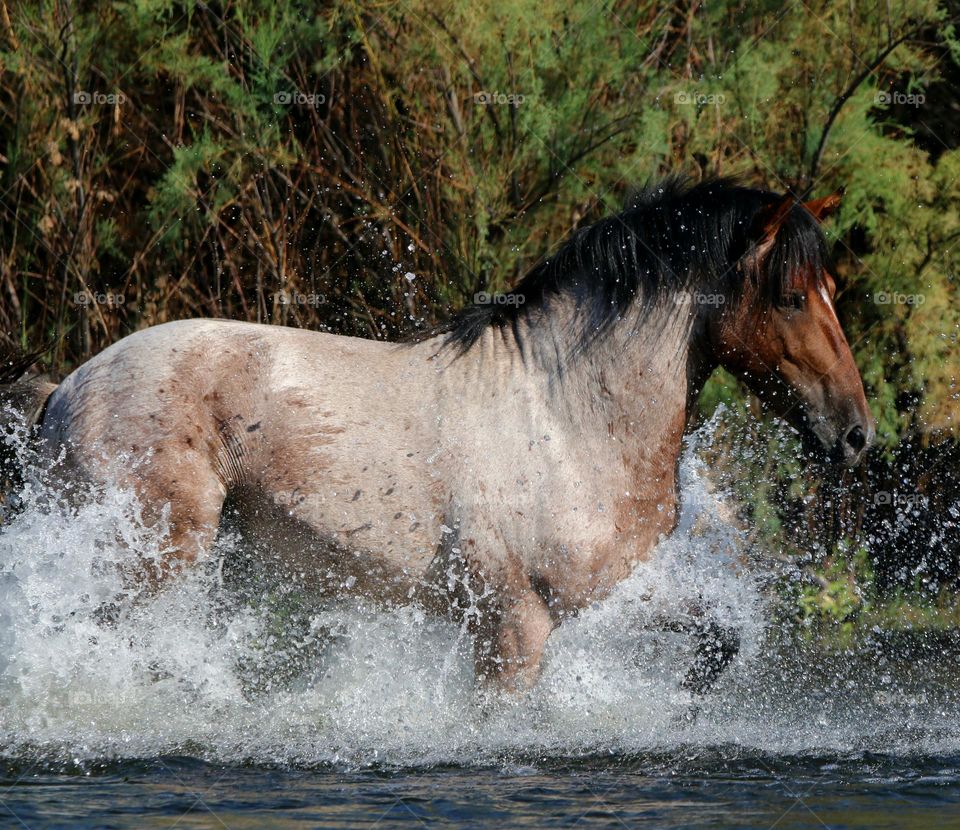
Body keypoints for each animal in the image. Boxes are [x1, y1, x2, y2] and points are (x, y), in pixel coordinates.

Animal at [0, 177, 874, 697]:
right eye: (793, 296)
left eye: (834, 288)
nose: (858, 435)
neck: (566, 418)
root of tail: (69, 389)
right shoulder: (516, 626)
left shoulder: (594, 598)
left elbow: (717, 639)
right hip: (154, 552)